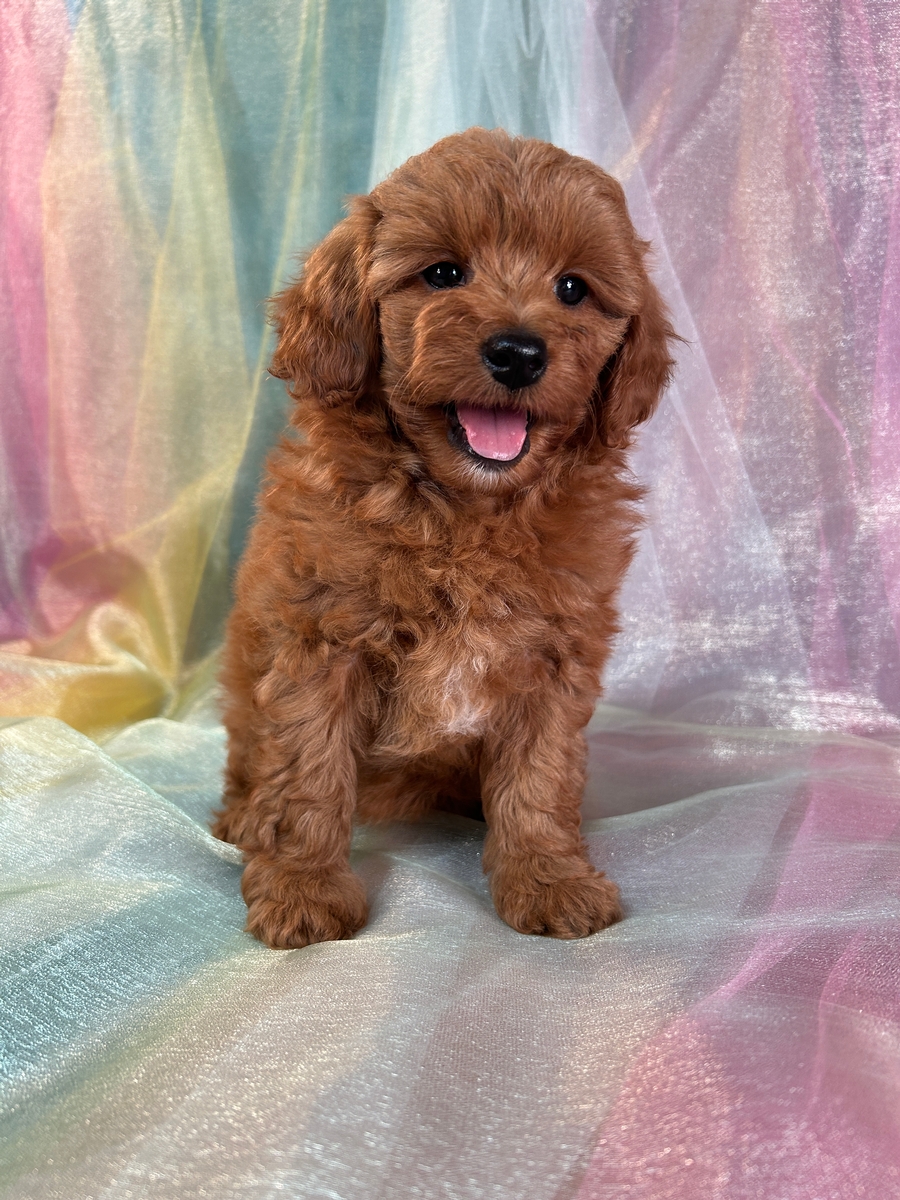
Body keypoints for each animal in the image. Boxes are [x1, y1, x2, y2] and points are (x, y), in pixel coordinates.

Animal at [214, 126, 672, 940]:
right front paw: (301, 885)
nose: (518, 352)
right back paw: (241, 818)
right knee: (252, 760)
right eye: (443, 274)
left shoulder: (554, 656)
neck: (464, 514)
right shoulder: (318, 640)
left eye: (573, 288)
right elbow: (307, 771)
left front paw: (548, 878)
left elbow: (541, 778)